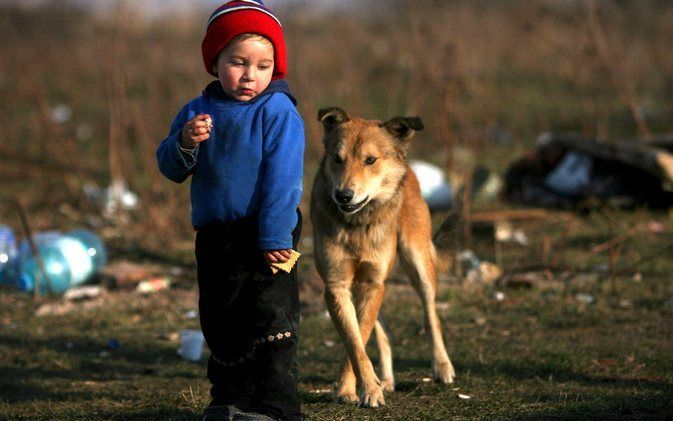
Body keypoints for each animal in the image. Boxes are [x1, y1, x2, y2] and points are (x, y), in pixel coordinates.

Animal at [308, 106, 454, 406]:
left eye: (370, 160)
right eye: (337, 158)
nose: (343, 195)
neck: (357, 224)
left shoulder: (372, 283)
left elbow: (359, 336)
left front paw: (359, 389)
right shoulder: (337, 285)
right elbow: (355, 341)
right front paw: (358, 389)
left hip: (418, 262)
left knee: (430, 314)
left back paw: (442, 367)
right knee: (384, 330)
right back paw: (386, 379)